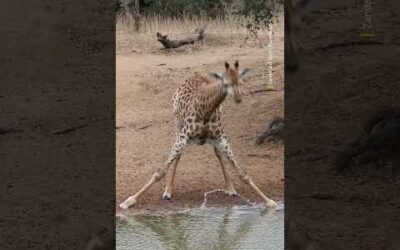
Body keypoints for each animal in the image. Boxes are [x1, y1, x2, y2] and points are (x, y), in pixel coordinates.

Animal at [119, 60, 278, 209]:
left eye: (241, 81)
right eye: (225, 83)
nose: (238, 98)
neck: (206, 110)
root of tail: (194, 75)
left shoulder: (221, 137)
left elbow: (242, 173)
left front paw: (269, 202)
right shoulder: (183, 136)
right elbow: (160, 171)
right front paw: (128, 201)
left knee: (217, 154)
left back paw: (230, 188)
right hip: (177, 123)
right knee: (178, 156)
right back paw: (168, 191)